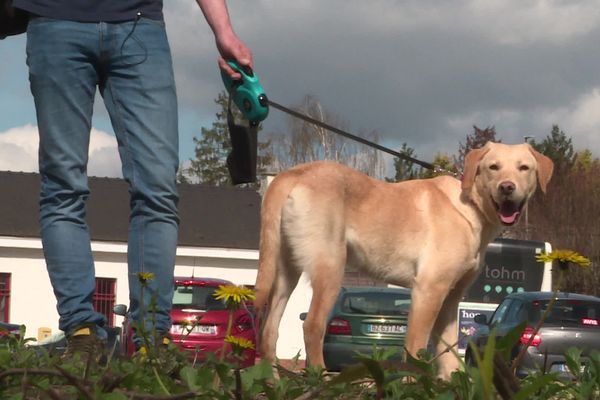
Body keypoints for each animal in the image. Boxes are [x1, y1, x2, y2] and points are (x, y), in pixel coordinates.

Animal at [253, 143, 552, 378]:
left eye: (524, 168)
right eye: (493, 167)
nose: (507, 188)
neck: (471, 206)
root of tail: (293, 173)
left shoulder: (450, 299)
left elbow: (448, 351)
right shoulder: (428, 290)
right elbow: (416, 347)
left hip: (286, 272)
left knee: (269, 332)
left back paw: (272, 383)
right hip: (330, 268)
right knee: (312, 325)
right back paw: (321, 380)